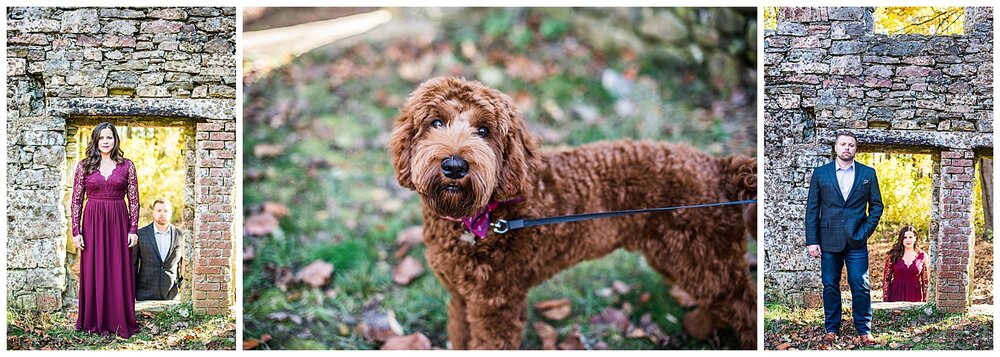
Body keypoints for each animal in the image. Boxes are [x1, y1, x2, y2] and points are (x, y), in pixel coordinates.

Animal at [386, 76, 752, 348]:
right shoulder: (461, 298)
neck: (476, 219)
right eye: (436, 122)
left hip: (704, 257)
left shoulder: (496, 304)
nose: (454, 166)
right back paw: (700, 326)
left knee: (742, 305)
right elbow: (461, 336)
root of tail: (722, 168)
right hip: (686, 258)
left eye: (484, 131)